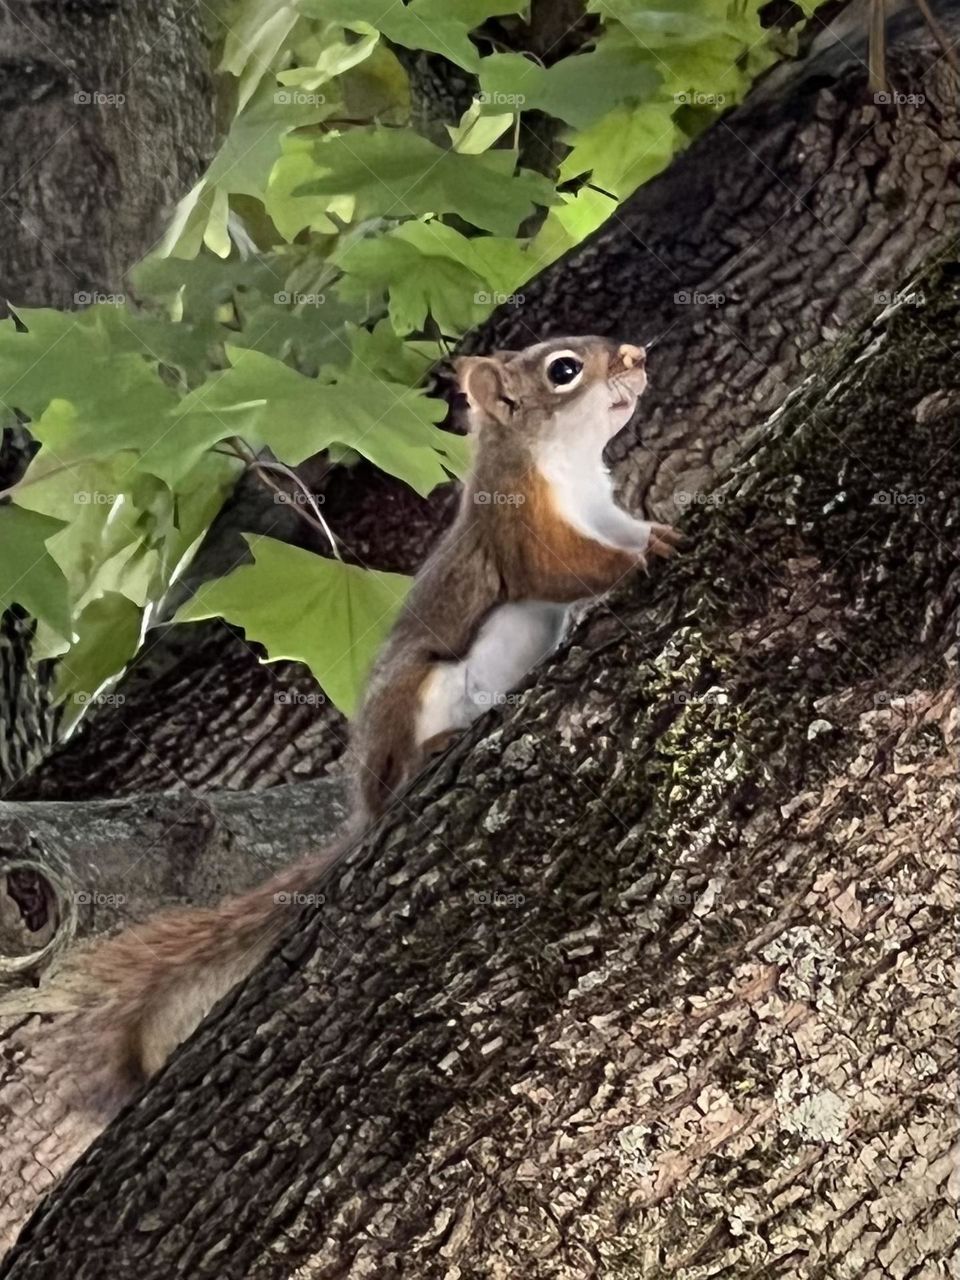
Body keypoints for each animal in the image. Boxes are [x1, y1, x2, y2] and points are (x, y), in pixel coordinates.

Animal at [61, 335, 680, 1112]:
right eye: (563, 369)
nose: (636, 354)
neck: (564, 462)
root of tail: (368, 805)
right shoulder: (520, 530)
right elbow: (563, 570)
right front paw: (644, 555)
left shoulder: (604, 508)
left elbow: (627, 529)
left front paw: (660, 532)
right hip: (418, 692)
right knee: (406, 764)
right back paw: (434, 750)